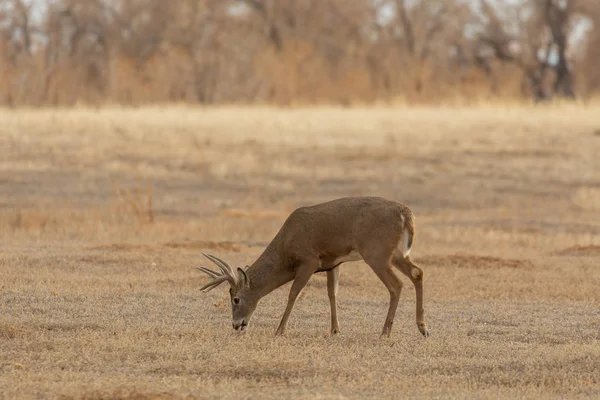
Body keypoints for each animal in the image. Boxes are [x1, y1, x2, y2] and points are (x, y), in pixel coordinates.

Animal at [199, 197, 428, 338]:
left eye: (236, 298)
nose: (236, 324)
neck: (285, 248)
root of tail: (406, 214)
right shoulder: (333, 263)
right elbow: (332, 293)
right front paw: (335, 330)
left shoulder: (308, 261)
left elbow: (293, 293)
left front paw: (280, 330)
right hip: (396, 254)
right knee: (417, 272)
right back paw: (423, 327)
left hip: (376, 254)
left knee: (396, 285)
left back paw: (385, 332)